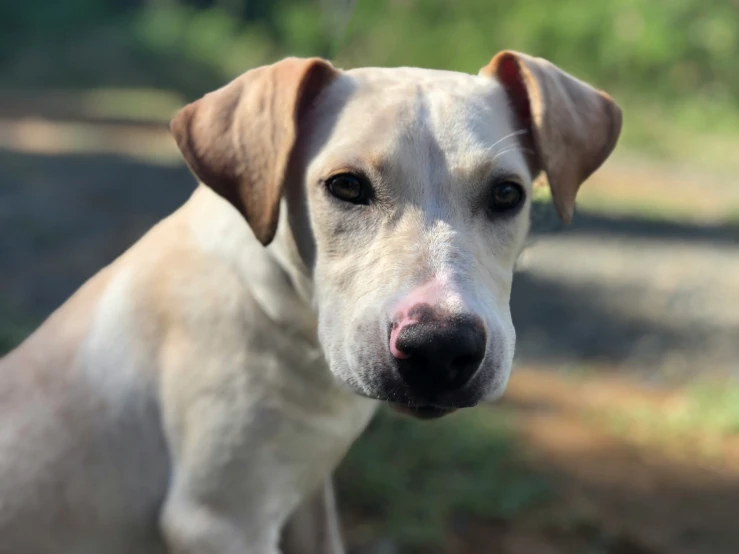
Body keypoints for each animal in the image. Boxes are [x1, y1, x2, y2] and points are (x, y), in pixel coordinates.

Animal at [0, 49, 624, 548]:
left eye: (507, 194)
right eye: (346, 185)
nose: (440, 349)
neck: (290, 321)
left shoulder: (306, 493)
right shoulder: (220, 520)